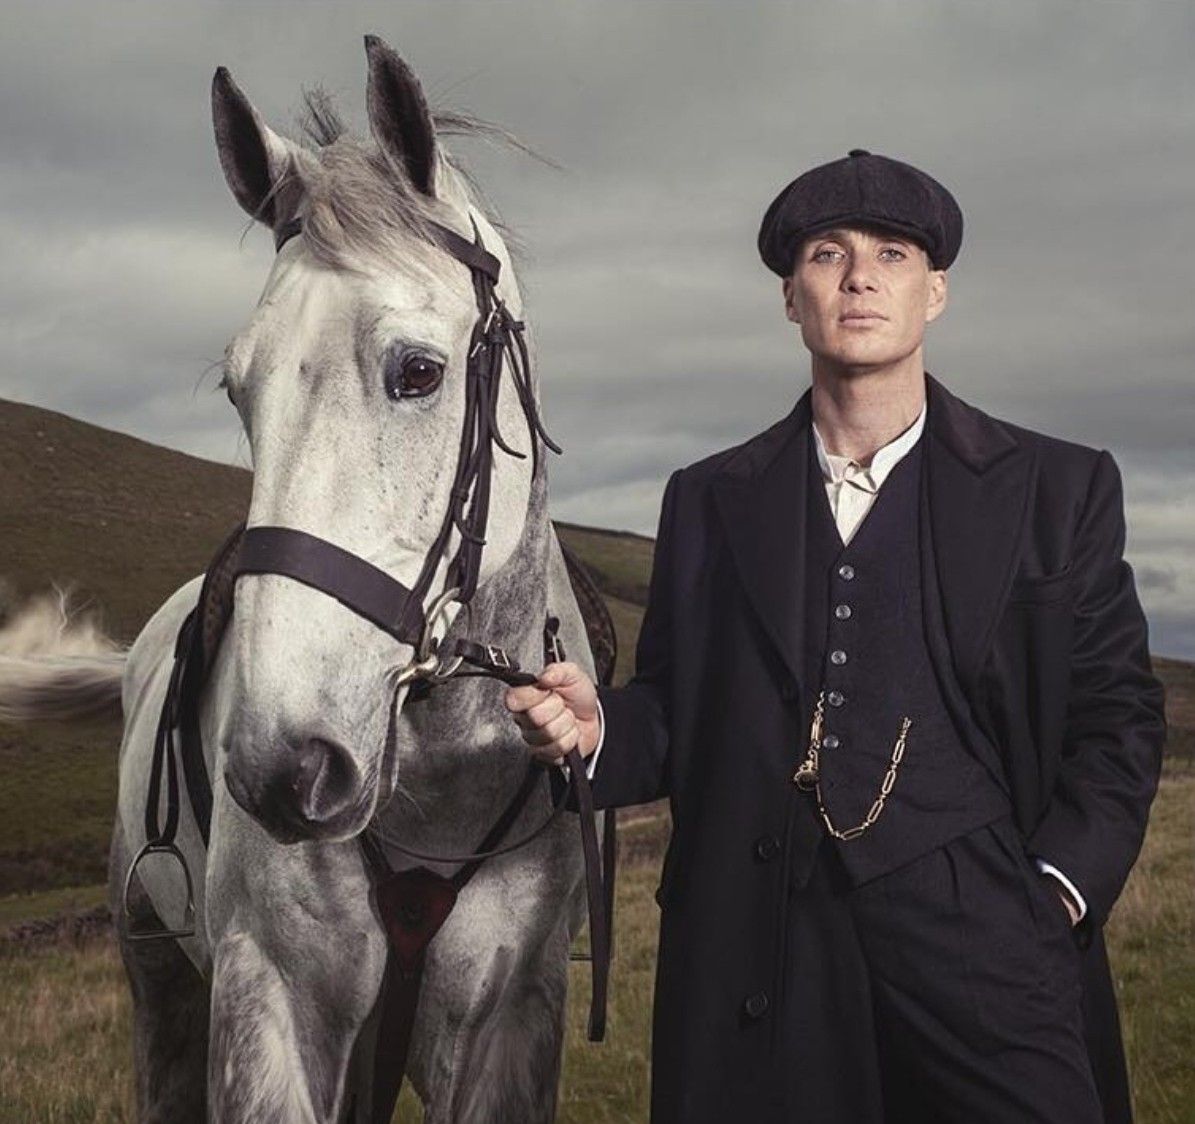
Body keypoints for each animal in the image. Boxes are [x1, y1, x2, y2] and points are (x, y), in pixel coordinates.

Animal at [0, 37, 597, 1122]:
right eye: (241, 389)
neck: (439, 781)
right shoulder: (270, 999)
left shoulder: (512, 1017)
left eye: (417, 371)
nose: (285, 767)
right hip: (157, 976)